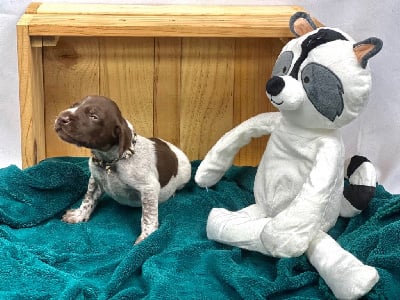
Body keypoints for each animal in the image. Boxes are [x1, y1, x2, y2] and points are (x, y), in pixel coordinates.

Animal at [54, 95, 191, 244]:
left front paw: (147, 236)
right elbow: (88, 199)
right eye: (73, 105)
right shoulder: (95, 180)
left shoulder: (148, 188)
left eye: (94, 116)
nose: (61, 117)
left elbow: (148, 216)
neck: (108, 161)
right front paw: (79, 215)